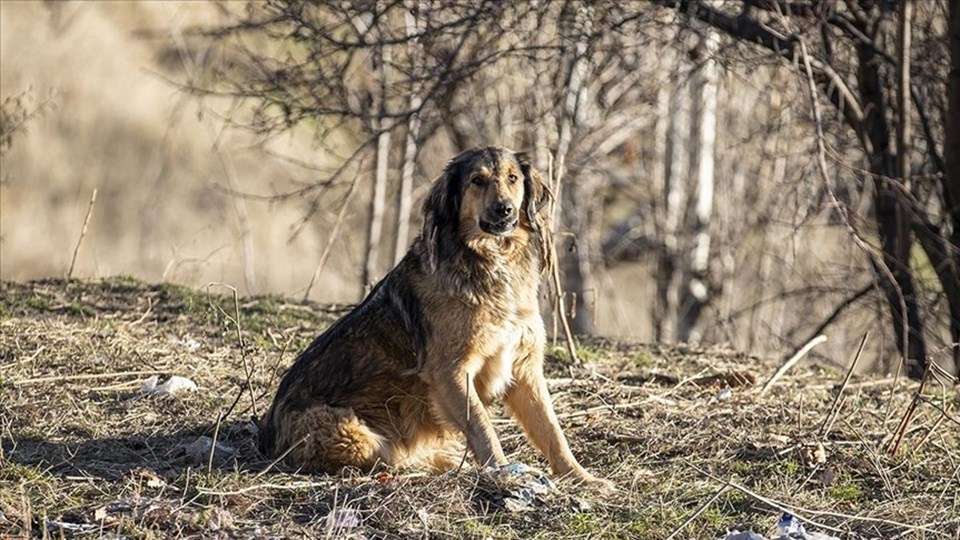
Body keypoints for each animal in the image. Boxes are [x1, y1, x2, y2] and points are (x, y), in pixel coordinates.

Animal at [256, 146, 608, 488]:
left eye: (512, 179)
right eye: (477, 181)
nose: (504, 209)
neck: (493, 259)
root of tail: (267, 438)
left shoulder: (523, 367)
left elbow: (551, 430)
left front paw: (581, 476)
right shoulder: (450, 372)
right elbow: (483, 427)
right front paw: (503, 472)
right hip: (352, 432)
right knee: (386, 457)